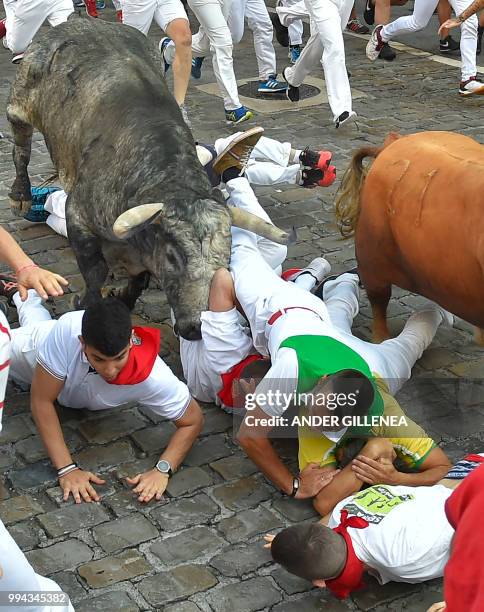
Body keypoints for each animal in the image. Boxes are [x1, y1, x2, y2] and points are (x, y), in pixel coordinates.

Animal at [7, 15, 292, 340]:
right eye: (172, 256)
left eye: (226, 259)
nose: (196, 327)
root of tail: (79, 21)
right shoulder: (78, 214)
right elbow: (95, 270)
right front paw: (84, 302)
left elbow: (139, 278)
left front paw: (125, 298)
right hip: (21, 102)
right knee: (21, 148)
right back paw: (20, 196)